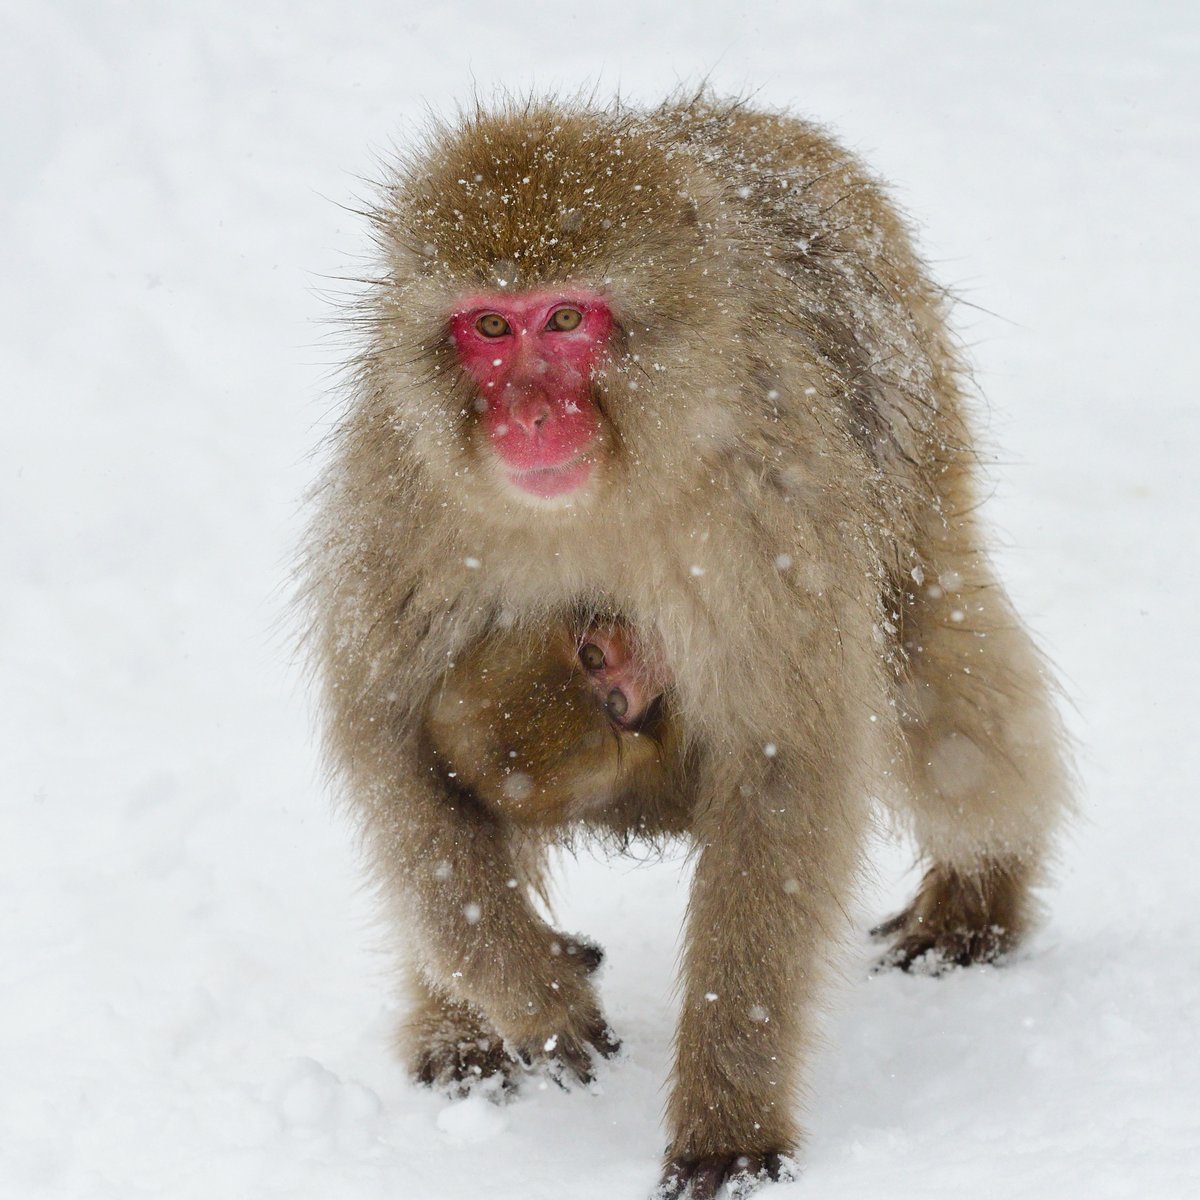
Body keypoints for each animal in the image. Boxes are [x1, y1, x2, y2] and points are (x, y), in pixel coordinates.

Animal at [304, 96, 1075, 1200]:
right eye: (490, 326)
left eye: (566, 320)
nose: (529, 416)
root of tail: (751, 121)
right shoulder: (399, 489)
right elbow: (393, 738)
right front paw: (526, 994)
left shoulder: (774, 504)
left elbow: (781, 766)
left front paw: (728, 1114)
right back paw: (461, 1021)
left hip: (912, 409)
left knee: (929, 664)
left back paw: (983, 890)